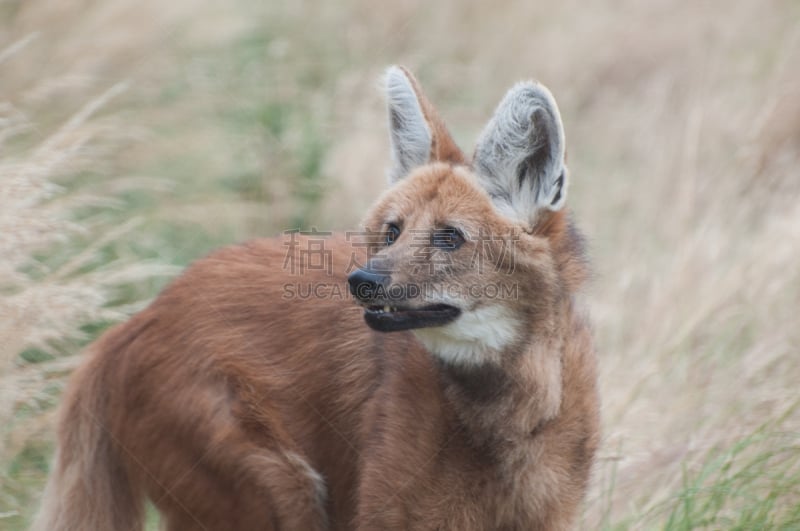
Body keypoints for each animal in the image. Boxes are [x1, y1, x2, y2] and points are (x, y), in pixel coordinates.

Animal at [34, 66, 596, 531]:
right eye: (393, 231)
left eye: (449, 237)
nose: (362, 280)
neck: (513, 416)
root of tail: (128, 327)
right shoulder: (390, 514)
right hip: (280, 491)